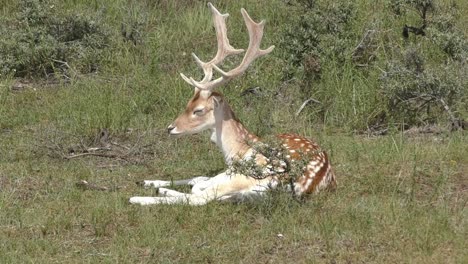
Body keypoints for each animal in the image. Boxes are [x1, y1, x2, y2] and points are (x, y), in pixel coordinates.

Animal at [129, 3, 336, 206]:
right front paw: (148, 181)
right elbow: (200, 177)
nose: (171, 128)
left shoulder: (233, 170)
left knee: (199, 198)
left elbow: (199, 184)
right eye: (188, 103)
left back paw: (140, 198)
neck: (235, 150)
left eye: (199, 110)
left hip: (246, 173)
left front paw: (155, 188)